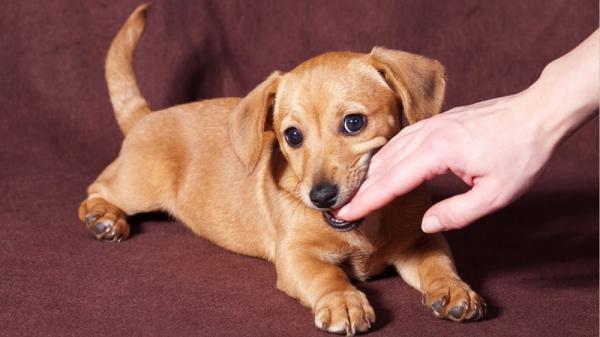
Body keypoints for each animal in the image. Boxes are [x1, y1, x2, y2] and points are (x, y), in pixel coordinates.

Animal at [79, 4, 486, 334]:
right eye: (292, 135)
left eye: (354, 123)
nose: (320, 197)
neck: (364, 227)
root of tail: (146, 116)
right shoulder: (296, 255)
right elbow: (327, 274)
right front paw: (343, 301)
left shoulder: (419, 241)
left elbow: (438, 263)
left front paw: (454, 289)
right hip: (138, 185)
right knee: (96, 189)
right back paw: (105, 218)